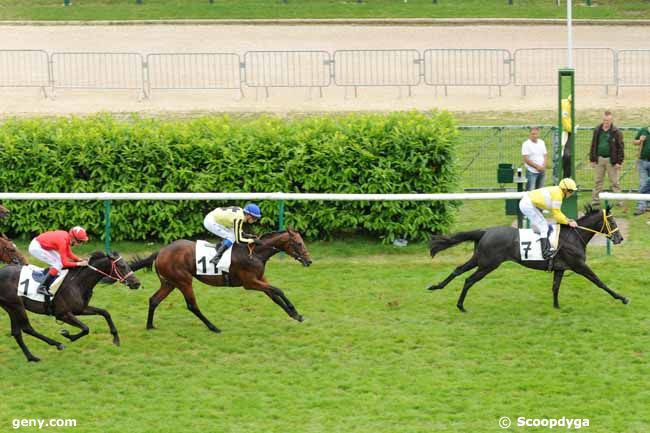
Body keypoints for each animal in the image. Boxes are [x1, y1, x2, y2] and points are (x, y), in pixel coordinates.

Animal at [0, 250, 140, 362]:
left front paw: (116, 338)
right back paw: (56, 345)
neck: (78, 283)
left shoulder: (80, 309)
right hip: (17, 305)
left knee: (17, 332)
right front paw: (67, 335)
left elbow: (105, 312)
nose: (137, 283)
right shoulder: (63, 314)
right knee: (27, 328)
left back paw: (31, 357)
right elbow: (85, 328)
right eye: (122, 266)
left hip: (10, 307)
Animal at [129, 230, 312, 330]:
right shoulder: (250, 283)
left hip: (170, 282)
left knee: (154, 300)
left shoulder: (261, 279)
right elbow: (278, 290)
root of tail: (161, 252)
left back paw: (150, 326)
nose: (309, 261)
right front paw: (294, 311)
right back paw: (213, 327)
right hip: (183, 281)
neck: (255, 253)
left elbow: (274, 295)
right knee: (192, 306)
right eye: (298, 243)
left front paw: (296, 315)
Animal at [422, 205, 624, 310]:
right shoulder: (579, 265)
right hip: (488, 264)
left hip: (479, 259)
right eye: (612, 221)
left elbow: (555, 287)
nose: (620, 238)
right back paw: (461, 305)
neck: (574, 237)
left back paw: (436, 287)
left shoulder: (560, 268)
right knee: (469, 280)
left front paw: (556, 306)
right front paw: (622, 298)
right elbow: (599, 282)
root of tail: (486, 231)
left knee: (458, 270)